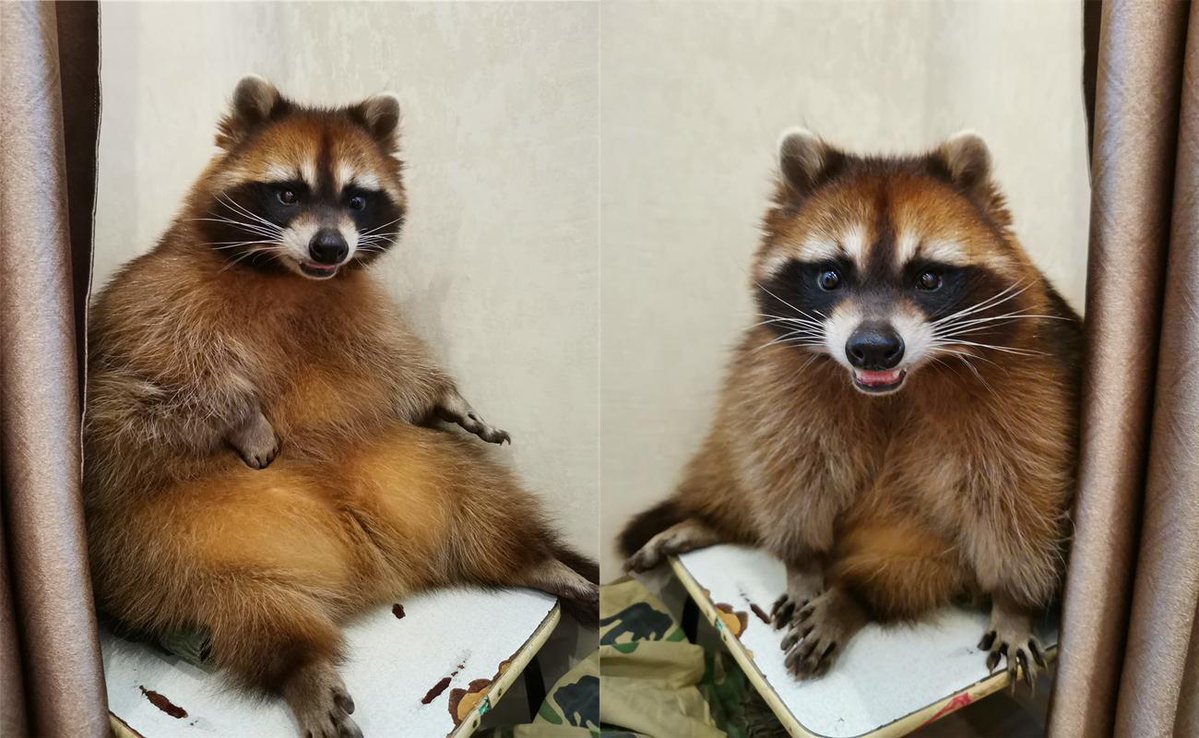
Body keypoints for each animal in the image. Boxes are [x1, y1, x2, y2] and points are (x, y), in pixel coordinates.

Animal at [84, 76, 597, 737]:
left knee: (475, 495)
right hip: (168, 544)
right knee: (240, 607)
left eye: (357, 199)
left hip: (407, 466)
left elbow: (397, 362)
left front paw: (447, 398)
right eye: (287, 192)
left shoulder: (365, 311)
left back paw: (536, 560)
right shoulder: (156, 294)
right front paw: (243, 416)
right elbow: (155, 374)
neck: (295, 276)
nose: (331, 247)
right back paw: (299, 665)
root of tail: (371, 574)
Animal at [619, 129, 1082, 686]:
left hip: (926, 547)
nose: (873, 349)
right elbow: (790, 469)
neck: (896, 389)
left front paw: (1014, 605)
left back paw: (851, 597)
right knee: (743, 451)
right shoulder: (789, 380)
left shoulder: (1026, 392)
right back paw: (714, 519)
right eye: (830, 277)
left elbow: (1017, 500)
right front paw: (802, 564)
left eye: (928, 279)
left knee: (907, 564)